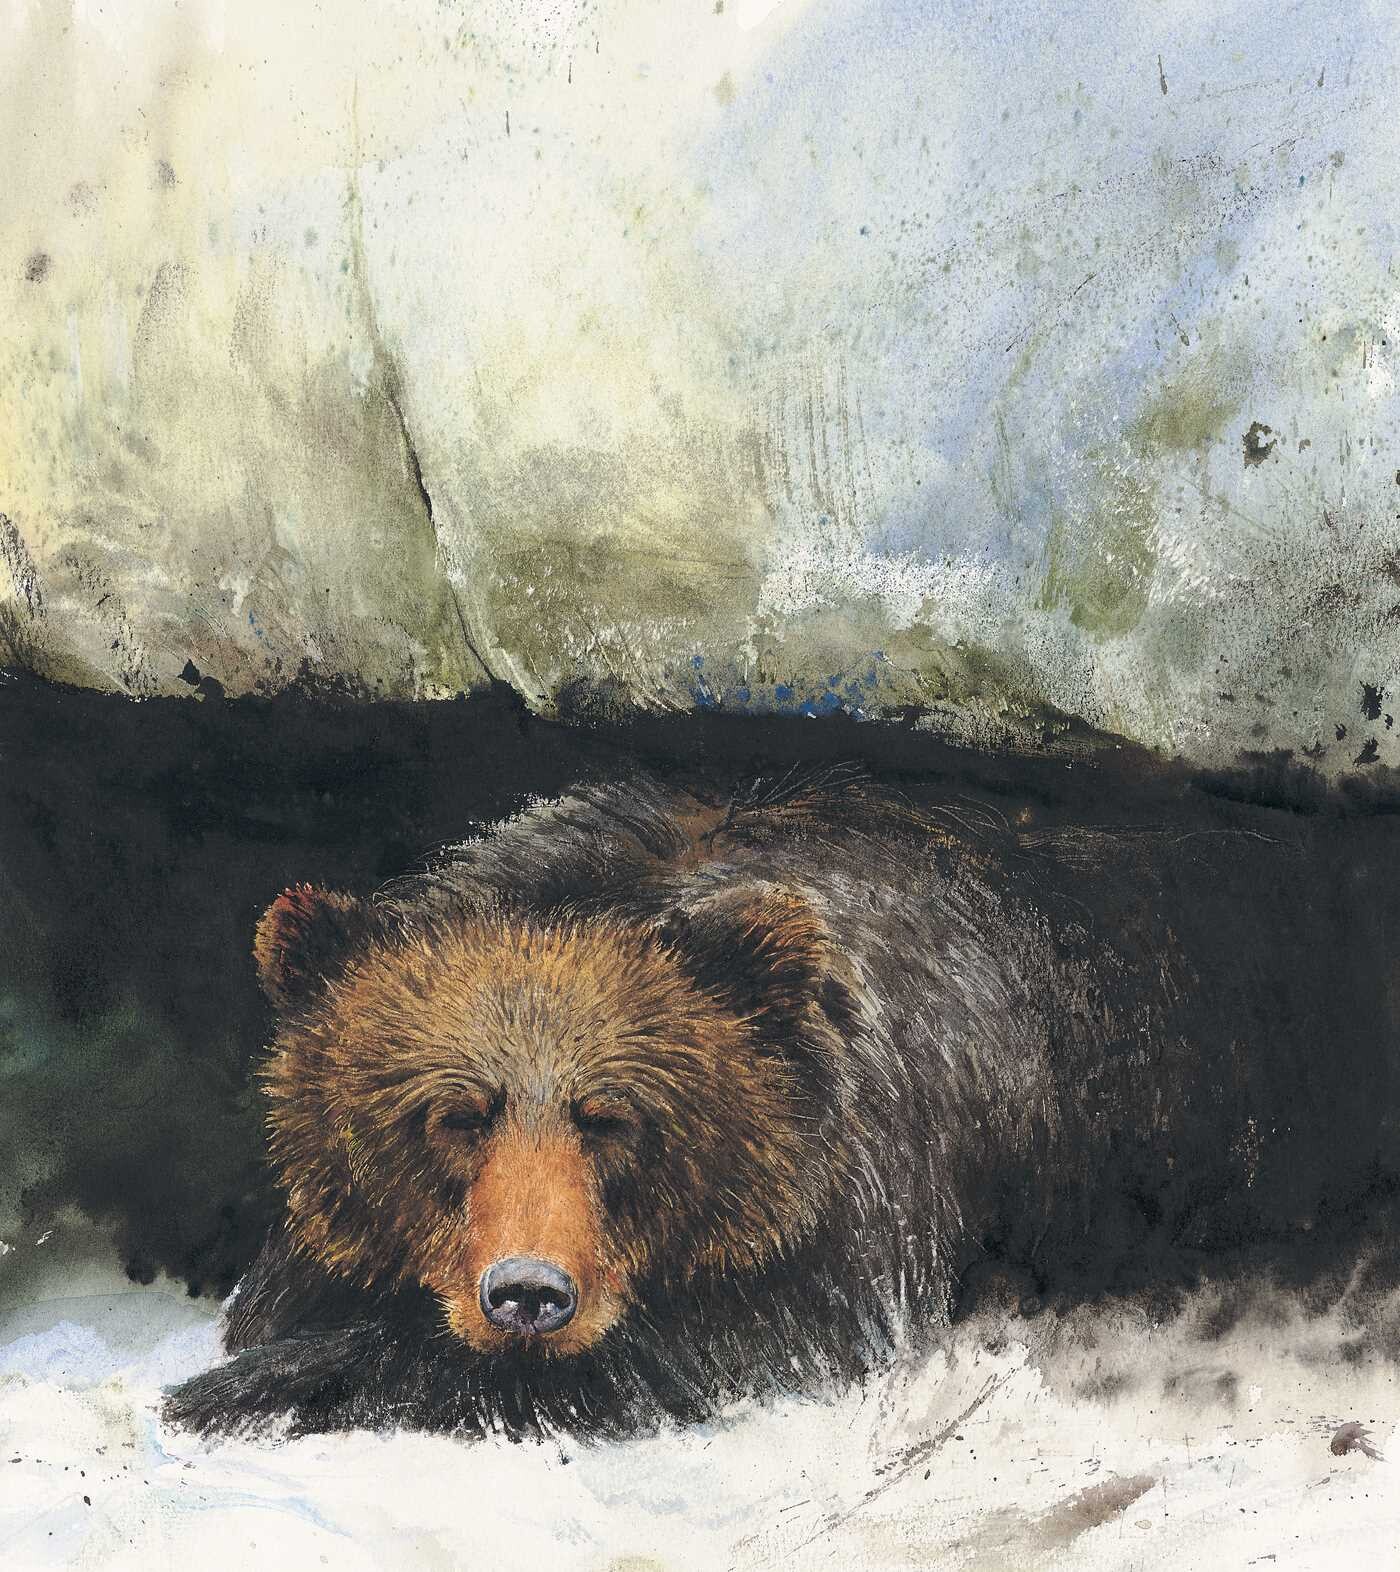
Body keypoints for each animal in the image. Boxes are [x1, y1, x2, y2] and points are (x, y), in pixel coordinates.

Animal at [164, 762, 1400, 1441]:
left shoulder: (872, 1193)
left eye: (614, 1118)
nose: (527, 1296)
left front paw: (249, 1387)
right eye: (454, 1114)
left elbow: (748, 1344)